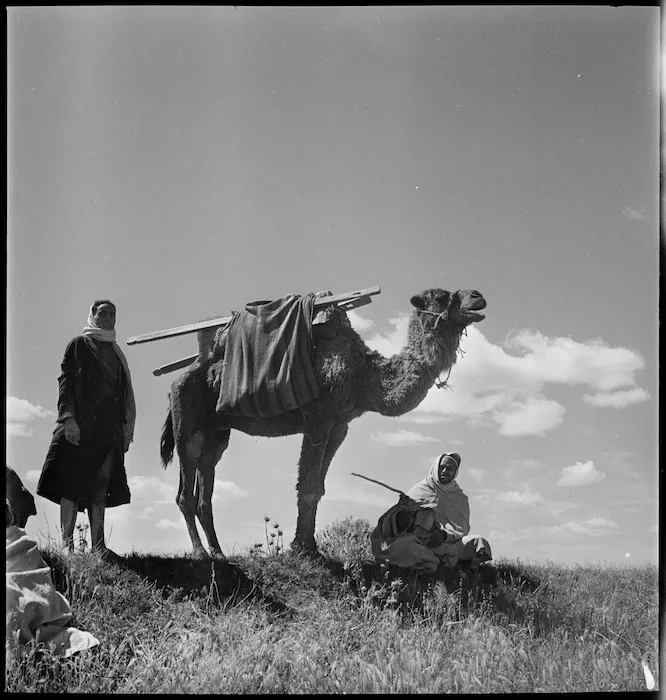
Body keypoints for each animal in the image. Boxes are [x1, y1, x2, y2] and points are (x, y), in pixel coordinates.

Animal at [160, 287, 487, 559]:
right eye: (441, 297)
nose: (478, 297)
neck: (362, 375)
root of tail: (178, 378)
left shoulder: (339, 426)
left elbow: (318, 486)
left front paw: (310, 546)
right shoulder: (318, 418)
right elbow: (306, 485)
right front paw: (302, 549)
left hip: (217, 431)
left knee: (206, 485)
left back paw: (218, 552)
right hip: (187, 419)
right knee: (185, 489)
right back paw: (201, 553)